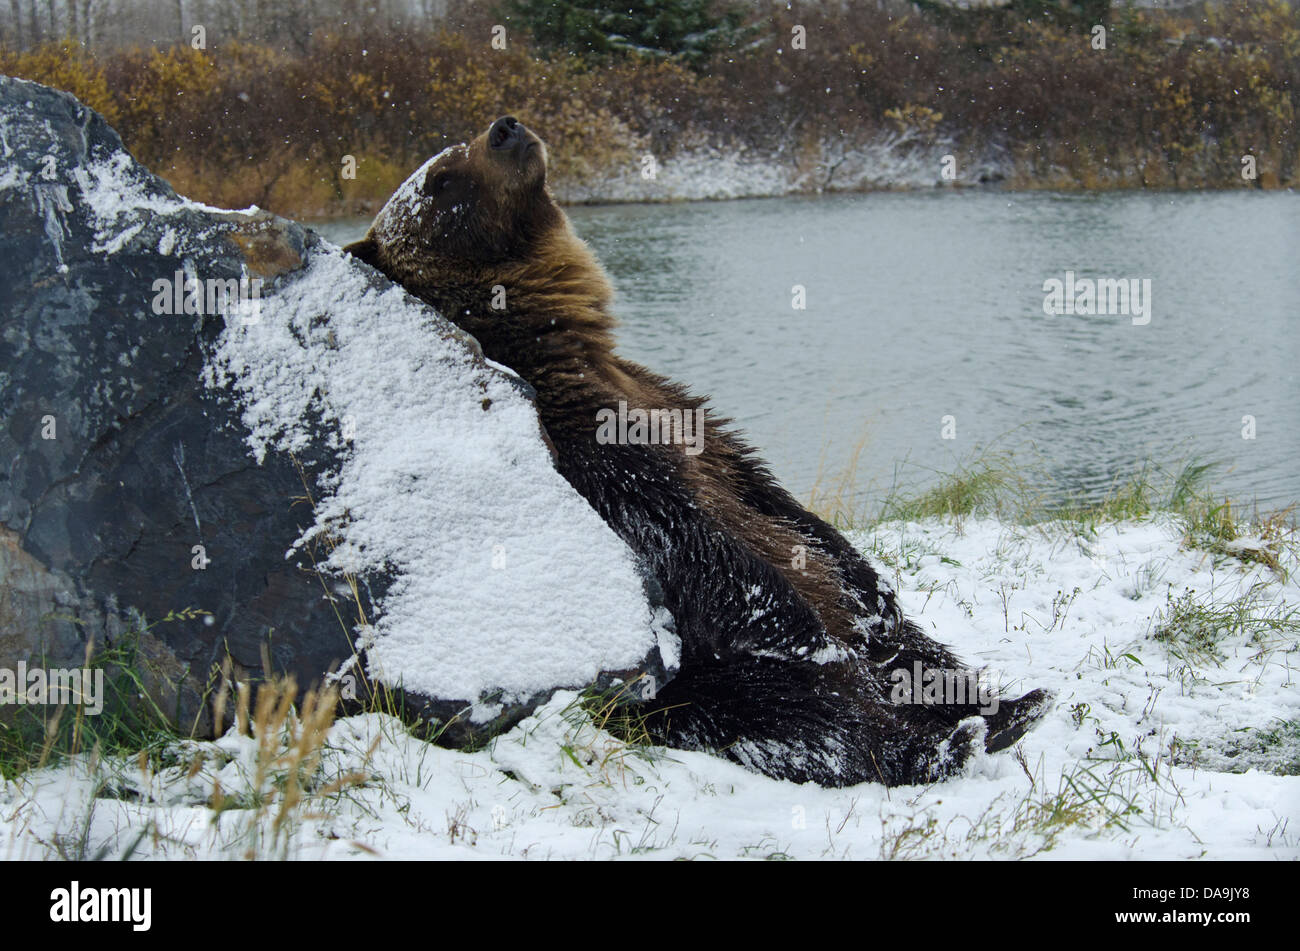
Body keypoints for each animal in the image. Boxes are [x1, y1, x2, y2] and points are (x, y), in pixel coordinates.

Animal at [343, 116, 1045, 789]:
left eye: (447, 159)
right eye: (440, 178)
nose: (505, 128)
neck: (569, 346)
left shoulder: (680, 409)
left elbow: (773, 497)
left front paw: (875, 590)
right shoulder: (587, 447)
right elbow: (694, 542)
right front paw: (809, 636)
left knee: (913, 650)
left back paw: (1004, 705)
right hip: (694, 687)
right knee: (807, 719)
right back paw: (941, 744)